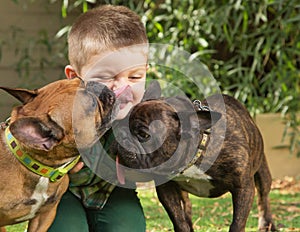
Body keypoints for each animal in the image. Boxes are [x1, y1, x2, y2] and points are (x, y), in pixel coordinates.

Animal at [113, 84, 276, 231]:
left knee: (263, 197)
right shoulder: (166, 189)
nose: (121, 136)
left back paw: (267, 224)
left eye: (144, 135)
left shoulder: (243, 187)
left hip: (262, 173)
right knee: (187, 206)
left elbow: (238, 223)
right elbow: (179, 220)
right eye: (119, 123)